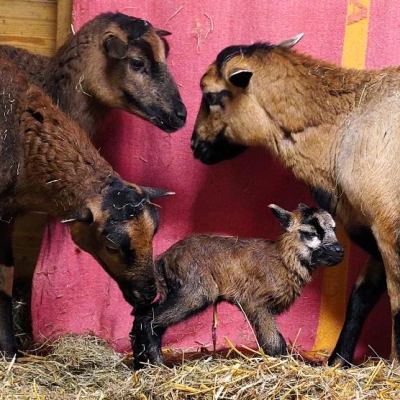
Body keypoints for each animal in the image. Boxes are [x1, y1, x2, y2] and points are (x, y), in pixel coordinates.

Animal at [0, 57, 170, 360]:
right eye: (111, 245)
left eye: (154, 232)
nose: (149, 295)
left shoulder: (9, 214)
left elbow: (5, 274)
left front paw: (9, 349)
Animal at [131, 203, 344, 368]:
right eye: (311, 233)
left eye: (334, 229)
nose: (339, 252)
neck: (282, 259)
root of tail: (163, 258)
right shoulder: (256, 303)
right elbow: (273, 340)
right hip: (193, 292)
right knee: (149, 320)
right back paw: (157, 365)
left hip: (173, 291)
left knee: (142, 316)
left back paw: (140, 364)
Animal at [190, 33, 400, 366]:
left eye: (210, 95)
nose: (195, 145)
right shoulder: (371, 227)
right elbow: (361, 296)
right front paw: (337, 361)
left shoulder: (387, 224)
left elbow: (396, 300)